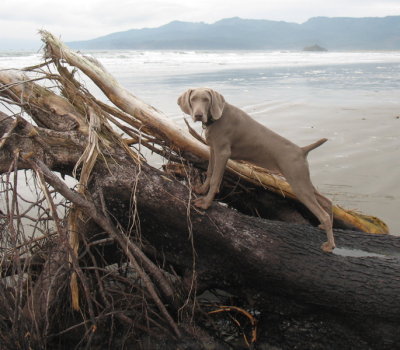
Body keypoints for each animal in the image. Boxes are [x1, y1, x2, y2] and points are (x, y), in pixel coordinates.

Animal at [177, 87, 336, 252]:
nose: (198, 115)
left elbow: (216, 179)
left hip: (297, 182)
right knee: (327, 201)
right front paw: (201, 190)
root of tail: (302, 150)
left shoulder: (223, 152)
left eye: (206, 100)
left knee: (322, 213)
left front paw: (206, 203)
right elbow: (209, 172)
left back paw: (329, 245)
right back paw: (324, 226)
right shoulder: (213, 149)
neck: (216, 119)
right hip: (302, 179)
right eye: (193, 99)